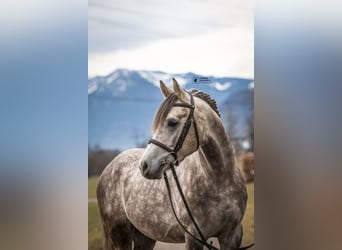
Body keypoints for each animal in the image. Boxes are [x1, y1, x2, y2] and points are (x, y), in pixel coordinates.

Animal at [97, 79, 247, 249]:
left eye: (172, 122)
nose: (144, 166)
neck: (220, 179)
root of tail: (109, 167)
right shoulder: (194, 238)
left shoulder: (232, 235)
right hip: (120, 234)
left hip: (145, 235)